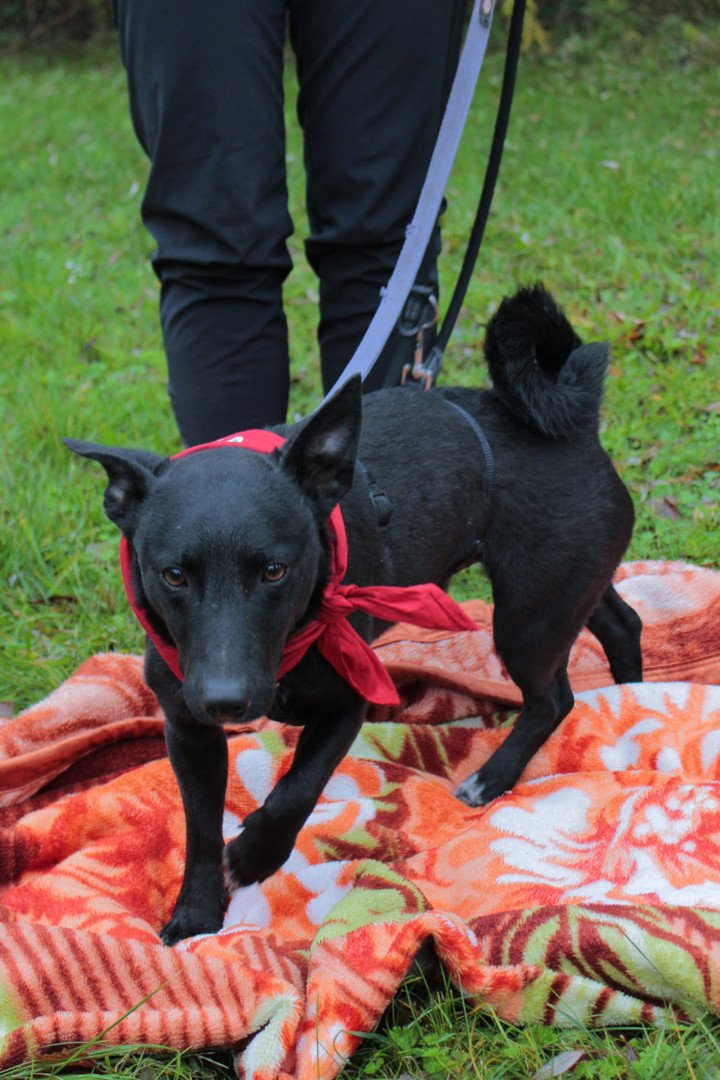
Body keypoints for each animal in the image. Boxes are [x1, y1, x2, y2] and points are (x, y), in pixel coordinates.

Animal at [66, 284, 643, 945]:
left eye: (274, 571)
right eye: (174, 575)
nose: (226, 700)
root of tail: (573, 421)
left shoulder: (347, 701)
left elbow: (297, 788)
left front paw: (257, 855)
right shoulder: (187, 726)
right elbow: (201, 827)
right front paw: (195, 915)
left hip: (528, 617)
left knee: (552, 699)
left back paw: (491, 779)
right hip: (569, 586)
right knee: (622, 625)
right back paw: (636, 697)